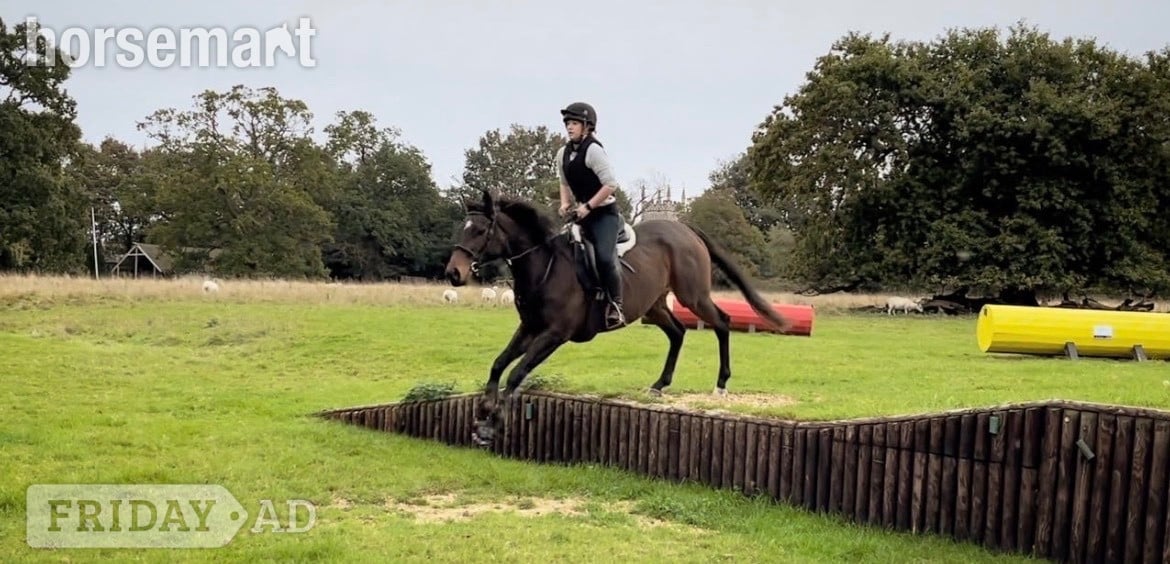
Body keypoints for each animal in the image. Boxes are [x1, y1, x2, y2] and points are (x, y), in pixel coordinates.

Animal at [444, 189, 791, 446]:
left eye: (481, 231)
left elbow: (516, 372)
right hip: (655, 305)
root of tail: (684, 228)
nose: (453, 273)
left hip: (693, 295)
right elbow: (499, 363)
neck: (544, 266)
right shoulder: (530, 327)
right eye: (463, 228)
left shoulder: (554, 334)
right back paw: (659, 384)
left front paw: (493, 422)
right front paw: (484, 410)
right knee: (678, 332)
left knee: (721, 322)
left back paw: (721, 383)